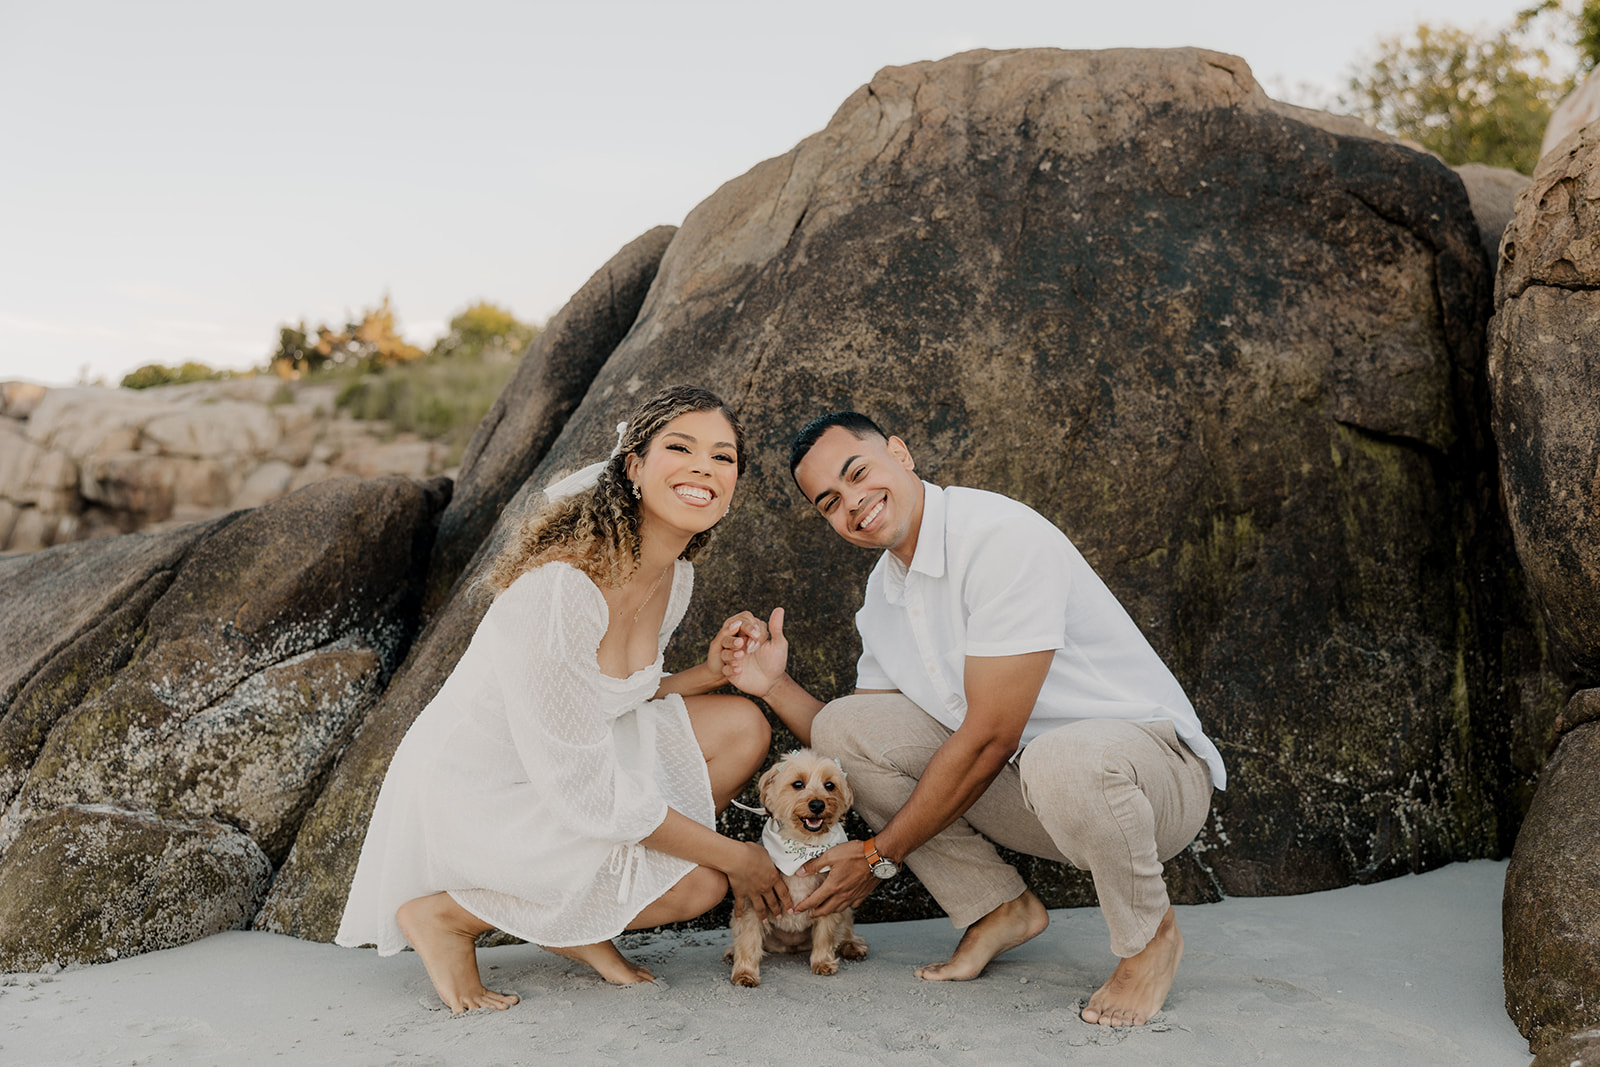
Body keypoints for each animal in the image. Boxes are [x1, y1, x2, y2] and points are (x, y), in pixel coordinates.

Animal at [729, 748, 870, 991]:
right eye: (798, 784)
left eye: (829, 785)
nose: (817, 805)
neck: (802, 846)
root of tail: (791, 947)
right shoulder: (753, 901)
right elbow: (747, 939)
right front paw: (745, 973)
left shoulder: (829, 896)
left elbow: (825, 934)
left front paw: (823, 962)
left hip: (844, 907)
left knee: (844, 930)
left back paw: (851, 945)